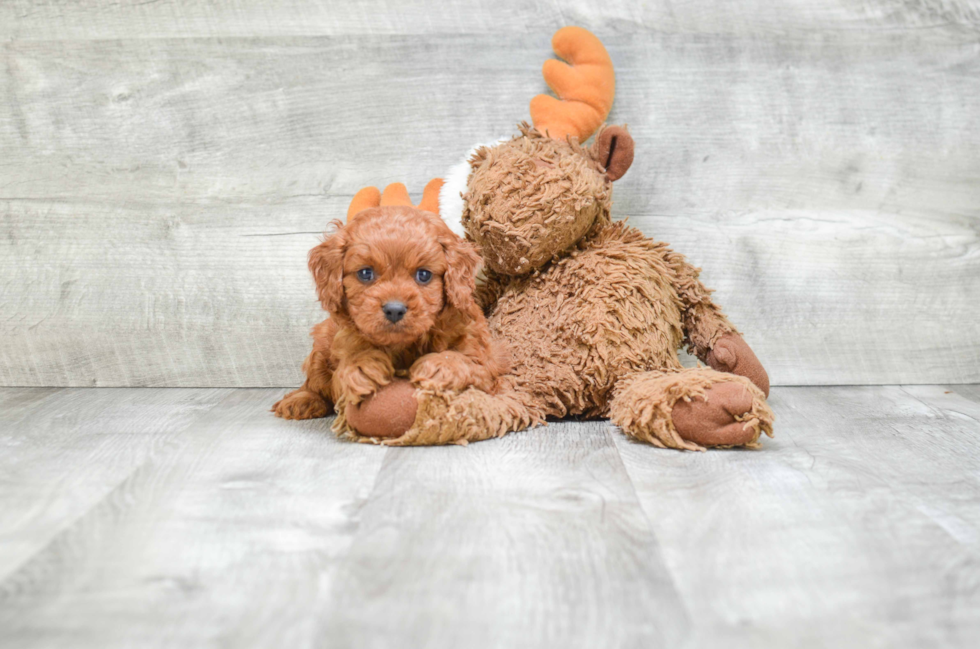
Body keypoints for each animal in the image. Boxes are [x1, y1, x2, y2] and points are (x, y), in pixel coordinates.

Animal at [272, 205, 510, 422]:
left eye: (423, 275)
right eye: (365, 273)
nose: (394, 309)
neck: (404, 345)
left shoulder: (485, 361)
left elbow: (471, 364)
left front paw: (442, 365)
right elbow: (343, 374)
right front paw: (360, 366)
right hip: (322, 343)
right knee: (316, 381)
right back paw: (302, 400)